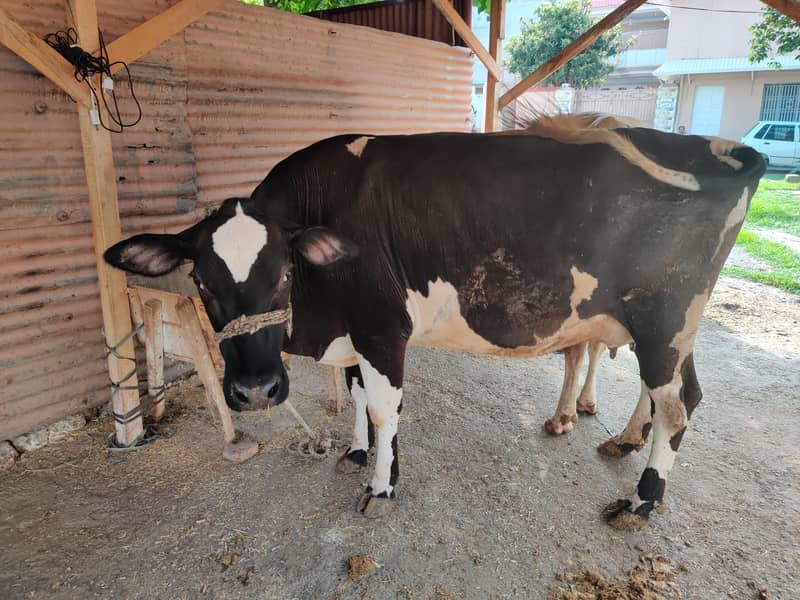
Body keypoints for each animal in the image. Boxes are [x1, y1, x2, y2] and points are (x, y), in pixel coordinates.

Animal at [104, 125, 764, 530]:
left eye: (285, 273)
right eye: (200, 281)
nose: (256, 391)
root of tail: (721, 149)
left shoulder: (381, 328)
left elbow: (383, 408)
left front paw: (382, 485)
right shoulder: (357, 335)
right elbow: (359, 396)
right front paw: (358, 454)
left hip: (663, 318)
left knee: (679, 403)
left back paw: (641, 502)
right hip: (668, 328)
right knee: (670, 394)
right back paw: (626, 442)